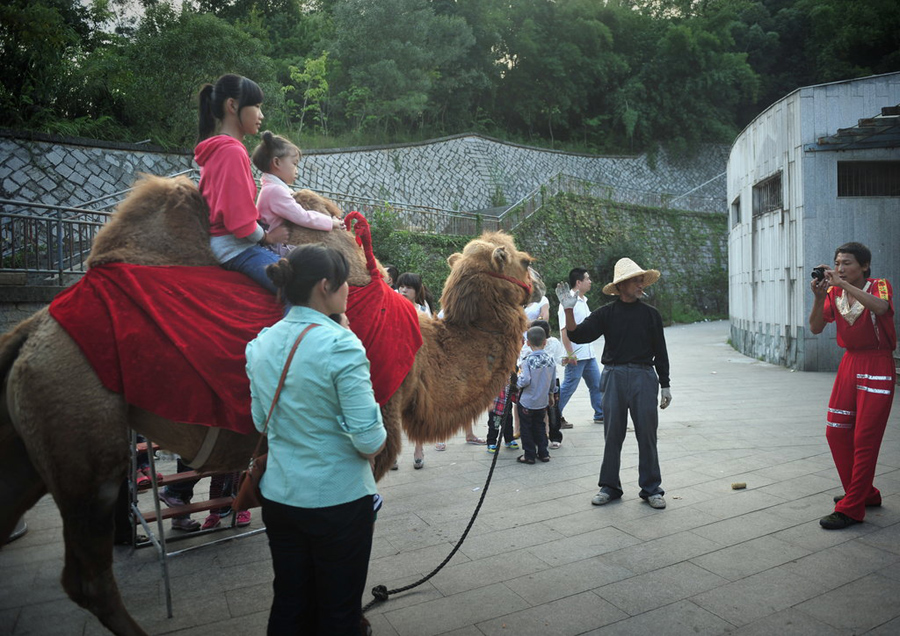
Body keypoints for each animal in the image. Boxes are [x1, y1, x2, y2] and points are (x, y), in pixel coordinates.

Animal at [0, 174, 532, 636]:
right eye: (524, 261)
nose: (540, 278)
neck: (423, 352)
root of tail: (30, 332)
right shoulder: (373, 426)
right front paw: (356, 618)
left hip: (32, 443)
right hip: (86, 439)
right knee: (90, 575)